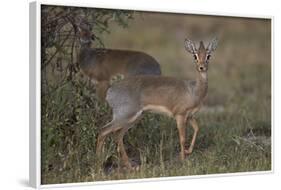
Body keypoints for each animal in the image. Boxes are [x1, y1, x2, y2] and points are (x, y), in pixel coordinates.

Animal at [95, 37, 218, 168]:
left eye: (208, 55)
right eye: (195, 56)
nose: (201, 67)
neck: (193, 91)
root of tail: (110, 92)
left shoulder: (189, 116)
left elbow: (197, 128)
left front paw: (187, 151)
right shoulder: (180, 115)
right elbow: (182, 138)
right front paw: (183, 159)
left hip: (134, 118)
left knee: (117, 135)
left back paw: (129, 165)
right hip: (125, 116)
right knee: (103, 131)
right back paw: (99, 162)